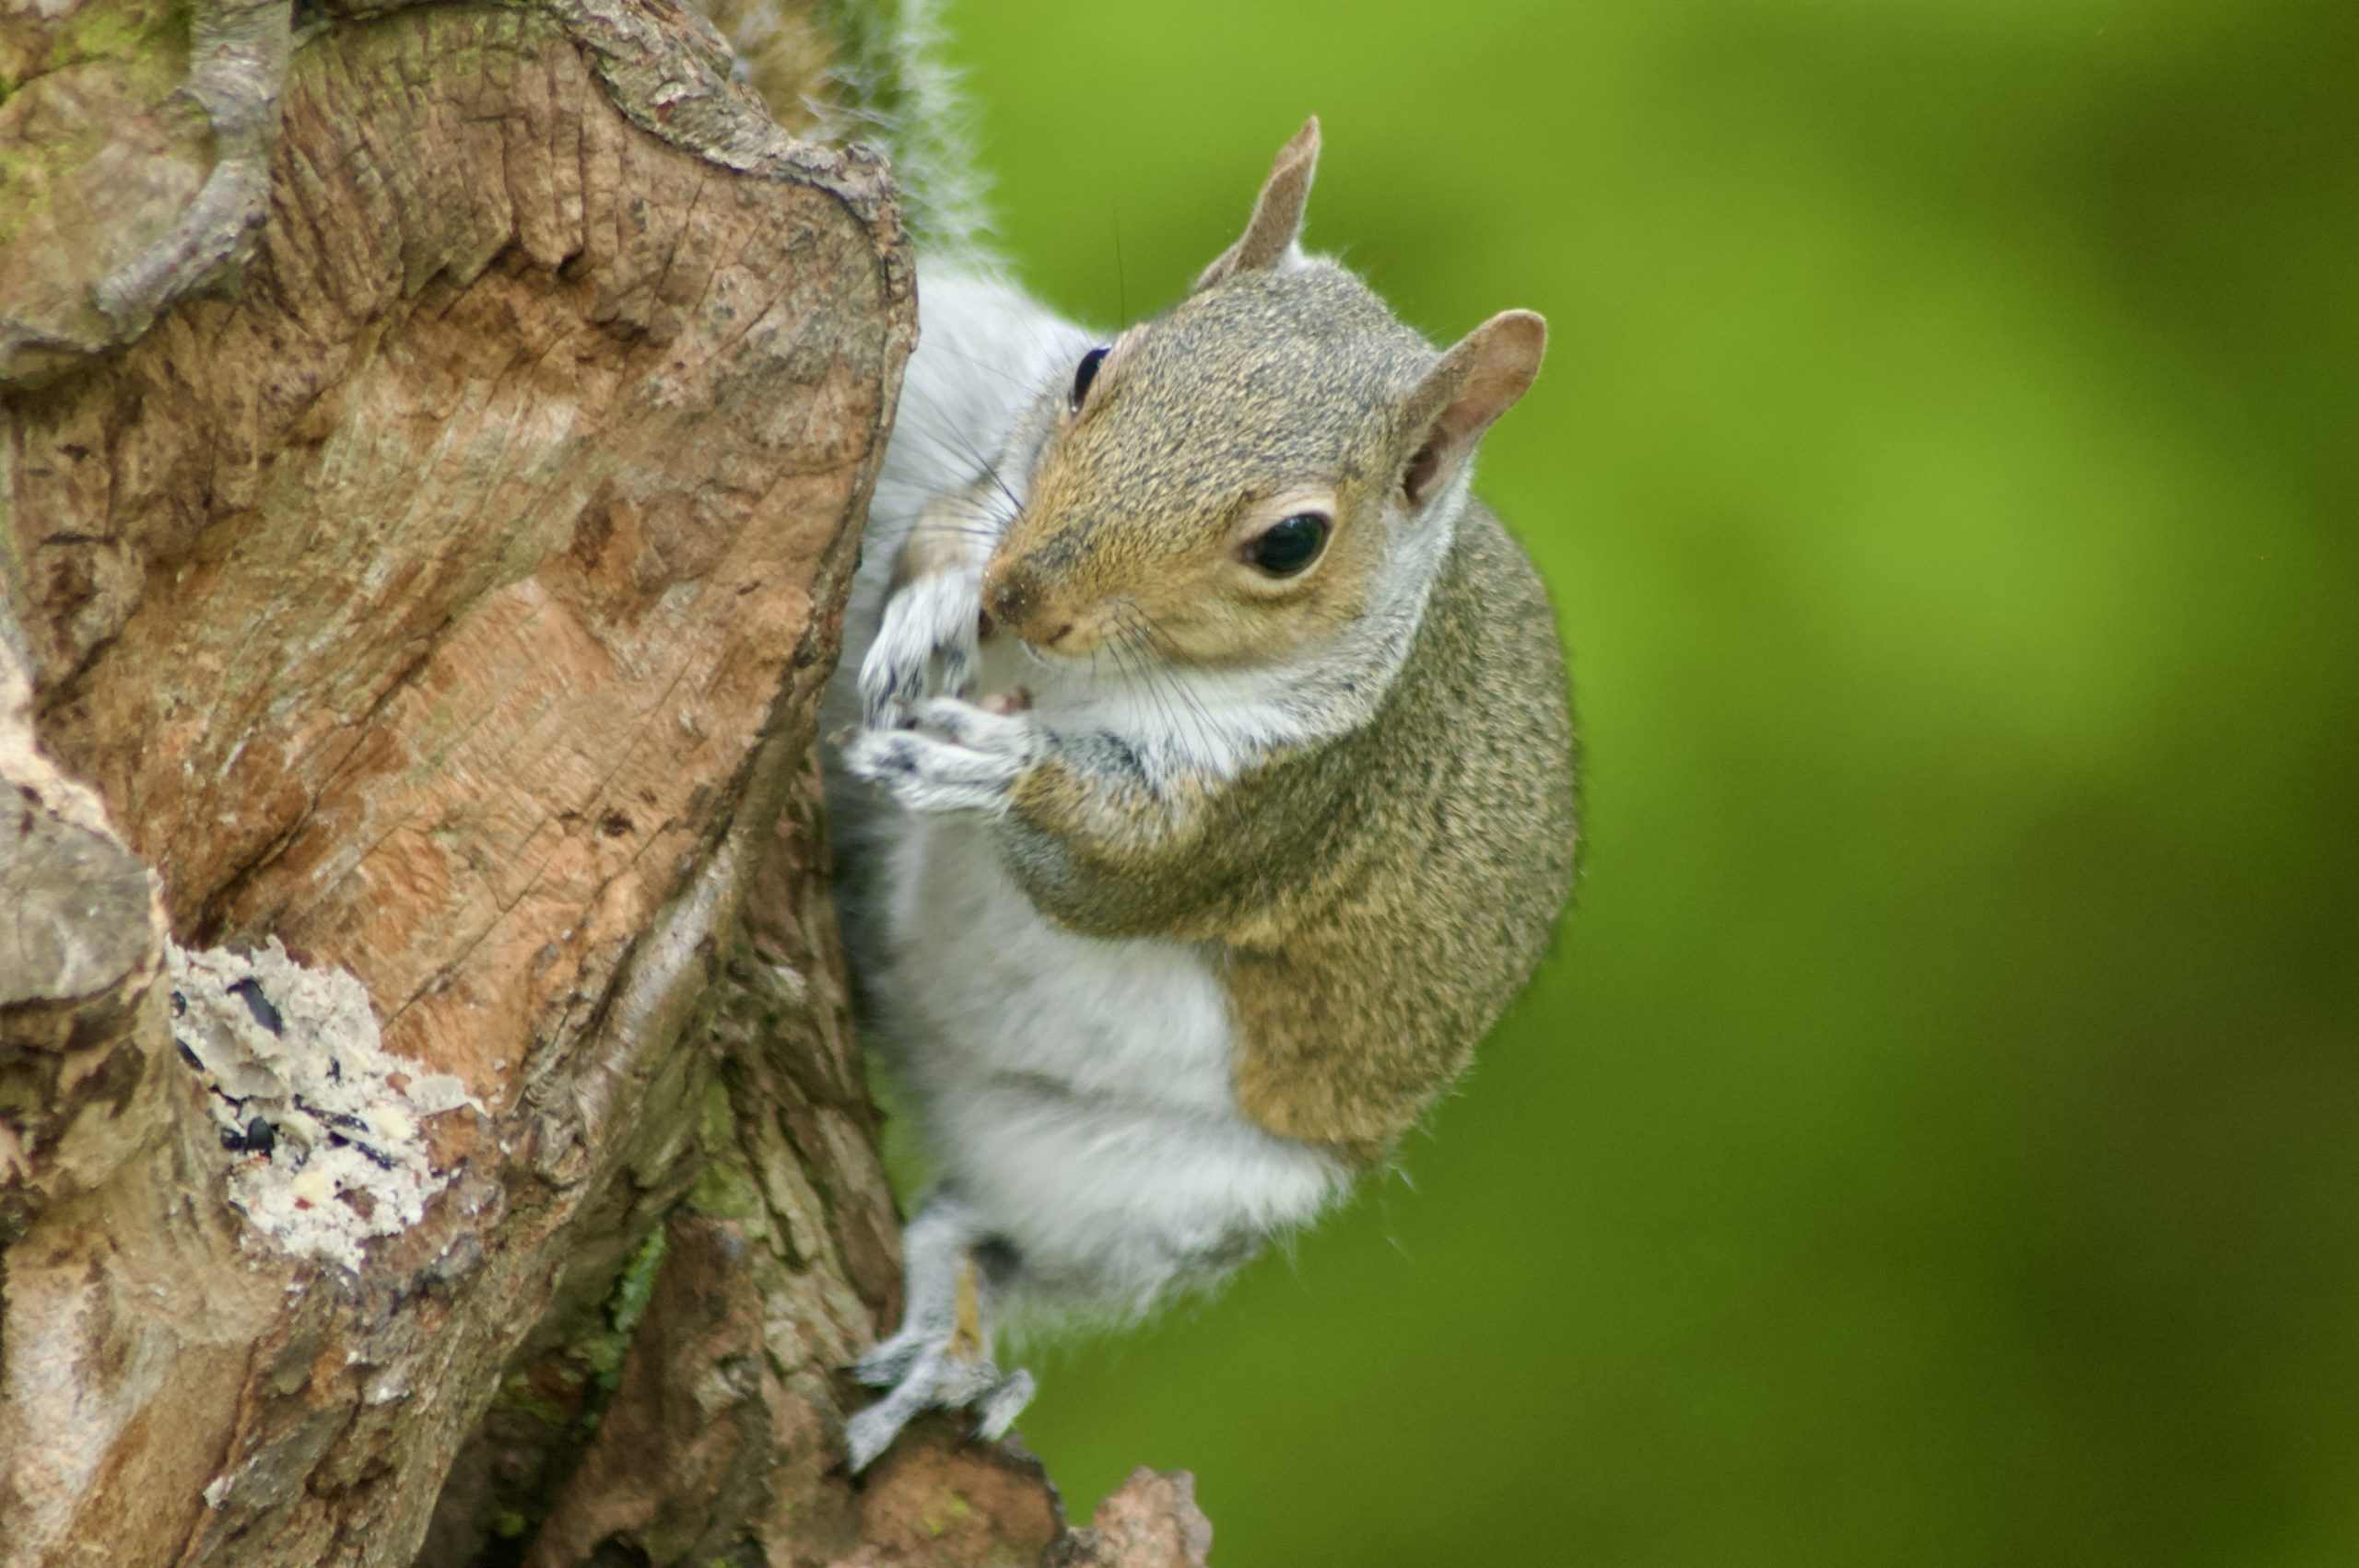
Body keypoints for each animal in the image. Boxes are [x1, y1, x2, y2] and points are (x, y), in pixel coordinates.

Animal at [822, 117, 1578, 1471]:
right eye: (1092, 366)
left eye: (1289, 542)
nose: (1021, 596)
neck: (1080, 674)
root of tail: (925, 1050)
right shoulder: (1000, 469)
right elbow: (949, 522)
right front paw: (934, 605)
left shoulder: (1279, 808)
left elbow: (1109, 875)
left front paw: (999, 767)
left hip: (1153, 1192)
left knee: (989, 1233)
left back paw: (947, 1356)